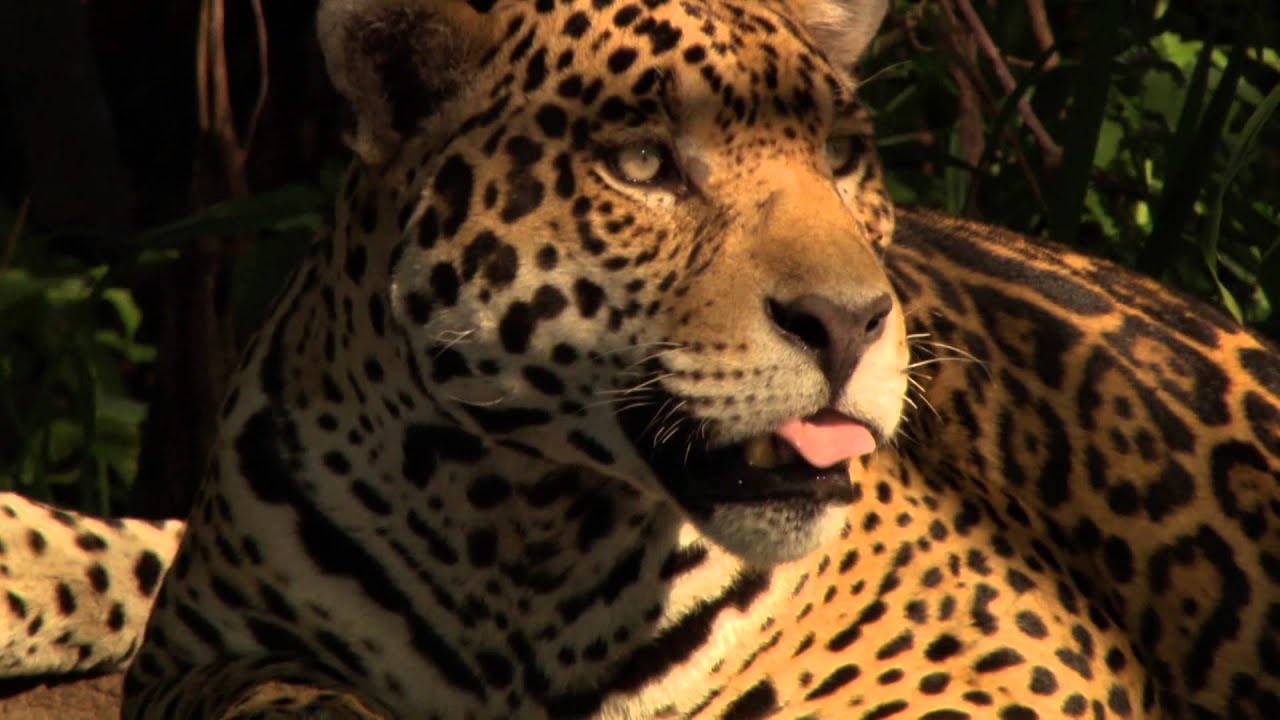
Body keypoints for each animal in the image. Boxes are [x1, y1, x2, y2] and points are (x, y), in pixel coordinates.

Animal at [1, 0, 1279, 718]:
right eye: (643, 165)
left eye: (842, 158)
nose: (851, 321)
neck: (509, 522)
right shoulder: (202, 654)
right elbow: (287, 690)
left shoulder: (1011, 658)